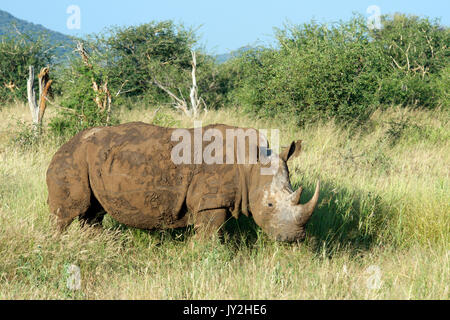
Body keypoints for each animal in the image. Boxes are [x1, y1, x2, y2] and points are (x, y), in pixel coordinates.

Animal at [46, 122, 320, 242]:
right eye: (270, 206)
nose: (295, 238)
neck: (250, 167)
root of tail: (63, 145)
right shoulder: (210, 201)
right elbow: (210, 235)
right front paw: (206, 258)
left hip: (88, 160)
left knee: (92, 213)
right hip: (72, 159)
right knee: (68, 213)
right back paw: (58, 244)